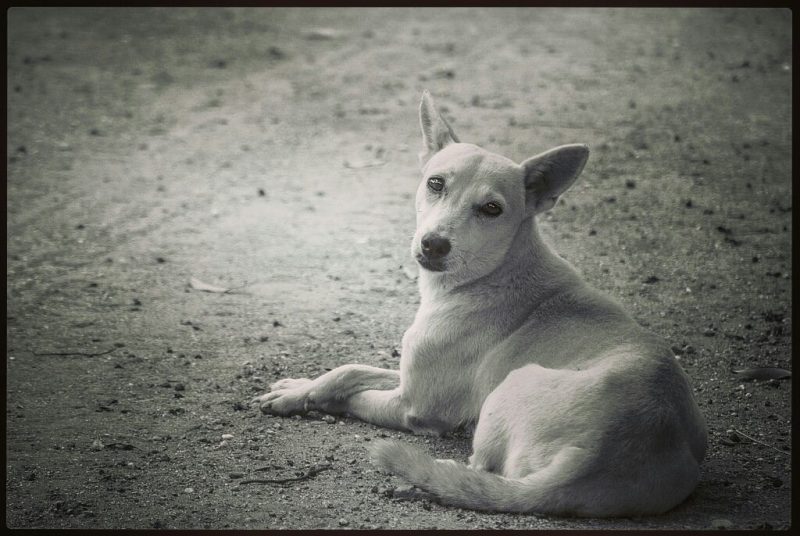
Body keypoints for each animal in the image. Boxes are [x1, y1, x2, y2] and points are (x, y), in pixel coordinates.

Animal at [255, 90, 708, 516]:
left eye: (492, 209)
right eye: (436, 183)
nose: (434, 244)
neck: (494, 272)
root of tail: (592, 460)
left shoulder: (412, 404)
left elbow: (353, 392)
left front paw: (307, 398)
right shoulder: (410, 375)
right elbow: (350, 370)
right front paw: (302, 387)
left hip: (506, 392)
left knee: (480, 472)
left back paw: (431, 477)